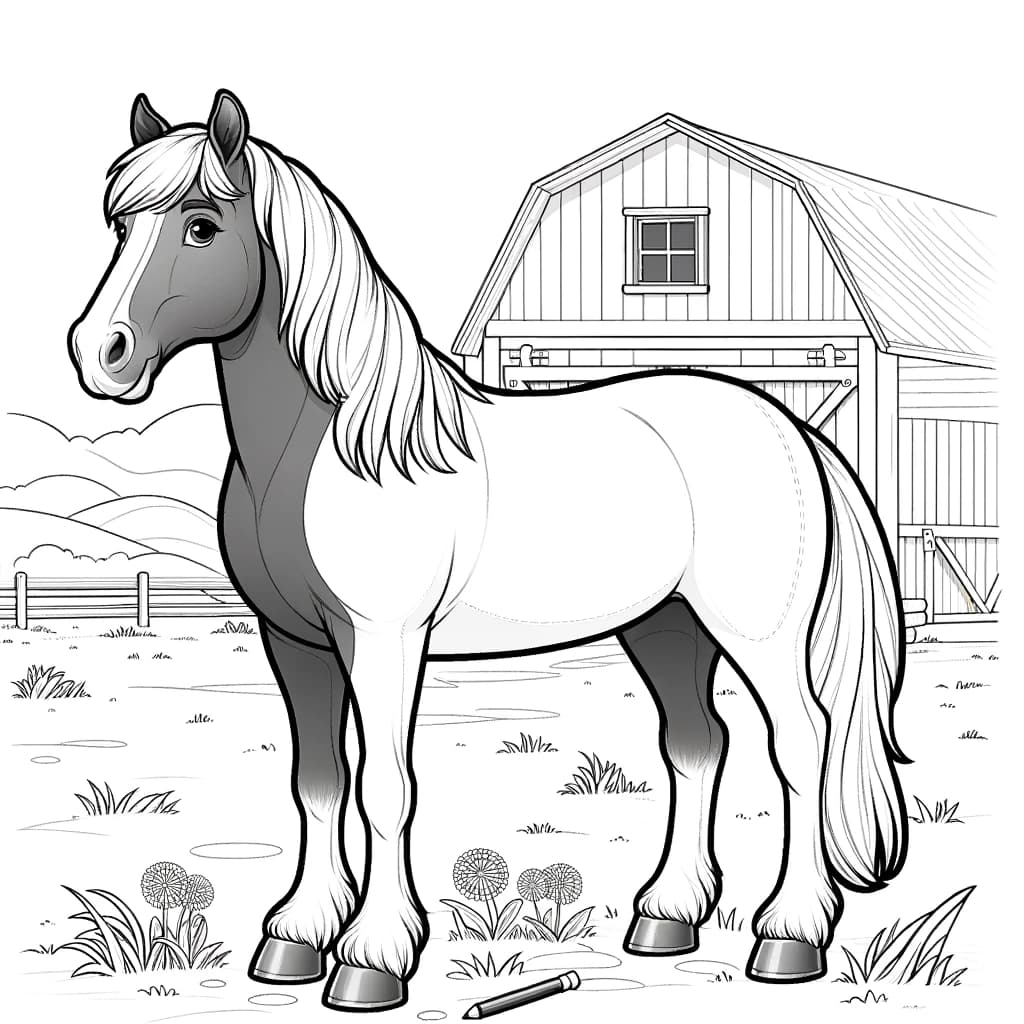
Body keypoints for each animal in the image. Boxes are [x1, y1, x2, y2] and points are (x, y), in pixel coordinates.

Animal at [69, 90, 909, 1011]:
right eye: (118, 224)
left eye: (203, 225)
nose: (99, 354)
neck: (331, 444)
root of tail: (790, 429)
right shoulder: (293, 642)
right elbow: (317, 782)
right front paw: (294, 939)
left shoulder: (385, 640)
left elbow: (384, 787)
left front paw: (372, 960)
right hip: (666, 624)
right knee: (697, 743)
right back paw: (665, 918)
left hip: (758, 634)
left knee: (801, 745)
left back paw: (789, 937)